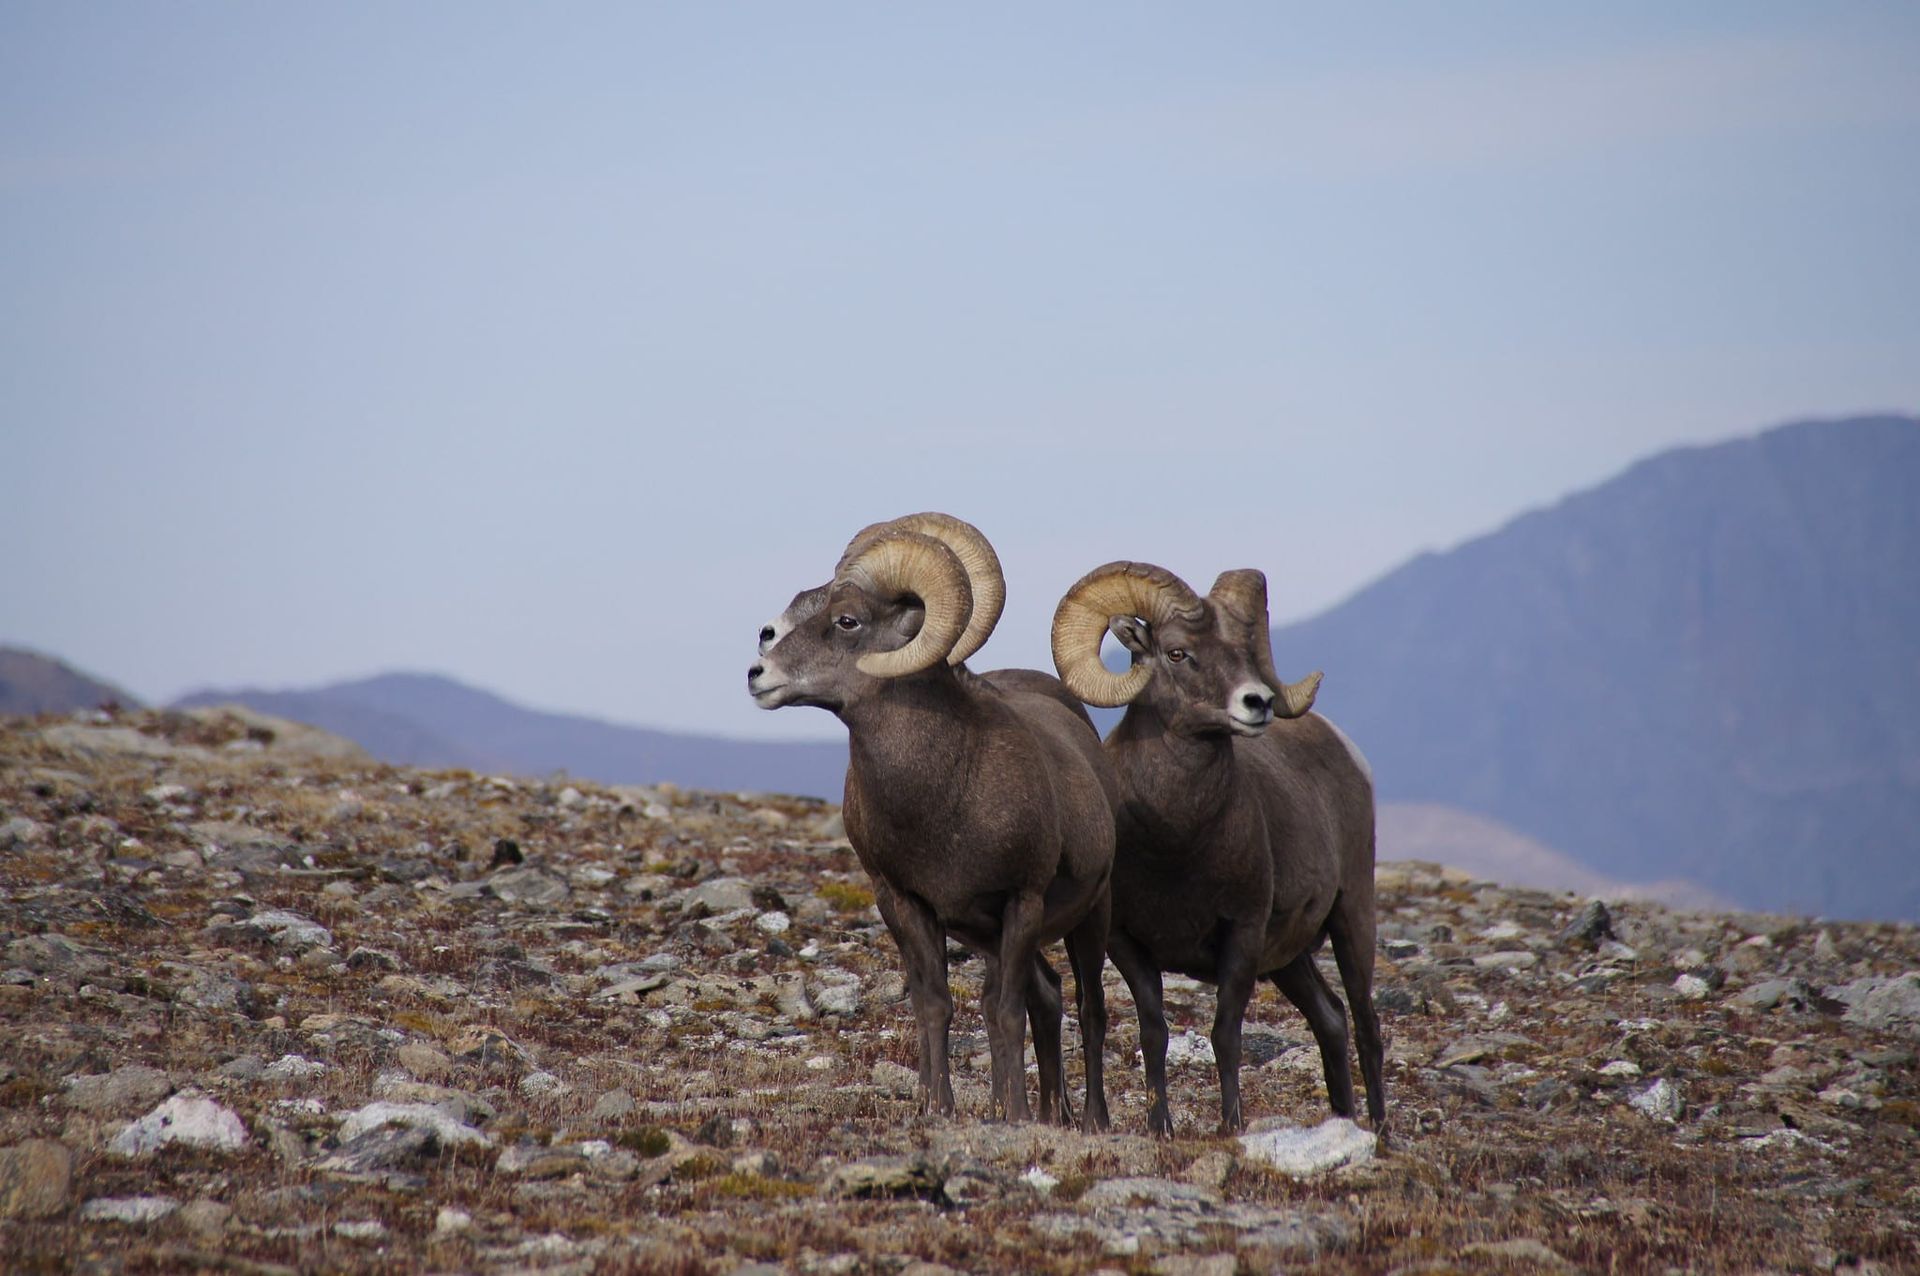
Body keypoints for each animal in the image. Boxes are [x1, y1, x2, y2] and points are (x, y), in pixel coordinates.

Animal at [748, 514, 1119, 1128]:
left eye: (847, 620)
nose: (757, 673)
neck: (942, 796)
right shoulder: (905, 903)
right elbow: (935, 1004)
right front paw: (937, 1106)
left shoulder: (1021, 903)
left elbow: (1004, 1011)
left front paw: (1013, 1115)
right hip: (993, 936)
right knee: (1046, 994)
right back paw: (1050, 1113)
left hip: (1089, 917)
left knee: (1088, 1008)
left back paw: (1087, 1120)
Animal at [1051, 561, 1384, 1136]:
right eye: (1176, 653)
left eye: (1247, 653)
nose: (1258, 703)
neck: (1177, 844)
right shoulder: (1126, 943)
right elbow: (1154, 1032)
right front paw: (1160, 1127)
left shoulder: (1242, 937)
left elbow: (1226, 1035)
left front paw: (1231, 1126)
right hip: (1291, 960)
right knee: (1332, 1020)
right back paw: (1342, 1120)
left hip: (1351, 917)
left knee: (1366, 1025)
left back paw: (1381, 1132)